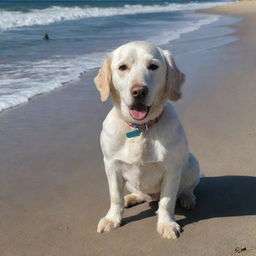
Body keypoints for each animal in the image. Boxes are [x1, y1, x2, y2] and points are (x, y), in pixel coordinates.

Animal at [94, 41, 200, 239]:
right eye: (123, 67)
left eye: (153, 66)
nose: (139, 91)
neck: (140, 128)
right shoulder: (111, 164)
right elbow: (115, 196)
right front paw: (112, 219)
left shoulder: (172, 169)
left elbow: (167, 201)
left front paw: (166, 224)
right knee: (138, 194)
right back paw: (131, 198)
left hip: (193, 162)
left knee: (187, 188)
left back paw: (187, 199)